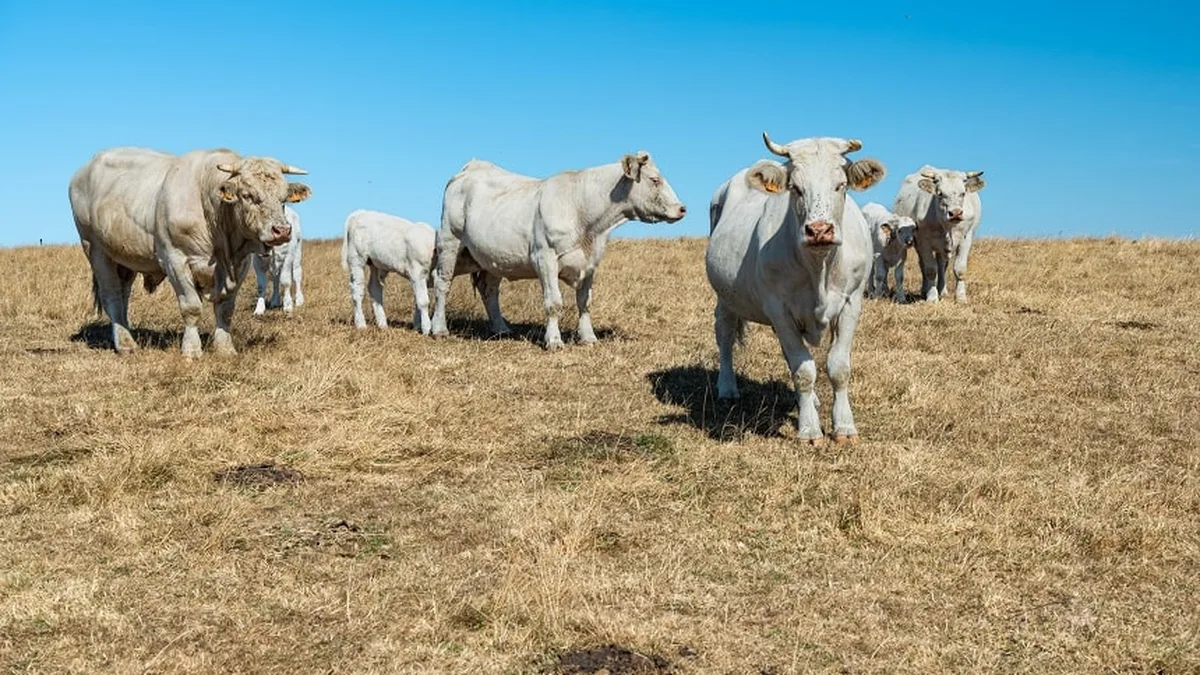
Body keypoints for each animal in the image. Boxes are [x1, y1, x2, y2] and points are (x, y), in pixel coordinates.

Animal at [69, 147, 311, 356]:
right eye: (247, 195)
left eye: (283, 198)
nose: (282, 230)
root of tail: (86, 168)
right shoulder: (175, 260)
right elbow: (191, 307)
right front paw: (192, 350)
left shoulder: (241, 264)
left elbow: (226, 309)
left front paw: (225, 349)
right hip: (95, 249)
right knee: (111, 294)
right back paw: (126, 345)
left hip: (124, 257)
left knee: (123, 294)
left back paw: (126, 334)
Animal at [430, 152, 687, 350]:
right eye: (655, 180)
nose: (682, 208)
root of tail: (472, 166)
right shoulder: (545, 258)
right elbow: (554, 303)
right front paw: (553, 340)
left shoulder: (591, 263)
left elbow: (585, 302)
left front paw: (588, 338)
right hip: (450, 241)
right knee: (443, 283)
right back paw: (439, 328)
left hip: (493, 257)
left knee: (489, 290)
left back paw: (501, 329)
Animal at [705, 133, 886, 444]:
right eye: (796, 189)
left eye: (840, 185)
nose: (819, 230)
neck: (819, 268)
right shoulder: (779, 308)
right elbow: (803, 370)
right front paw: (809, 430)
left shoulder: (851, 303)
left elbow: (838, 367)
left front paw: (844, 427)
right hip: (726, 298)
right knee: (725, 335)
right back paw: (727, 388)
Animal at [892, 165, 986, 303]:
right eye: (940, 193)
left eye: (963, 193)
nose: (955, 213)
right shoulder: (923, 241)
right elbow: (930, 269)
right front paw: (932, 297)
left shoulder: (966, 238)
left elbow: (960, 269)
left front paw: (961, 298)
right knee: (924, 266)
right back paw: (925, 291)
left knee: (942, 266)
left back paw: (943, 291)